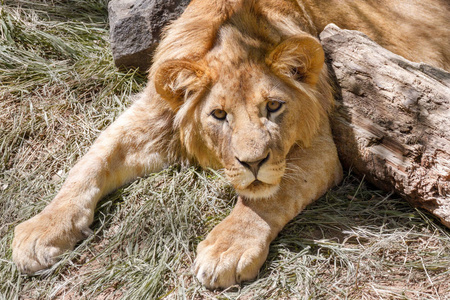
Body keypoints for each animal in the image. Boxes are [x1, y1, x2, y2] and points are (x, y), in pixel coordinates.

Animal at [11, 0, 450, 290]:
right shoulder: (147, 122)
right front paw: (41, 231)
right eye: (219, 115)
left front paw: (227, 250)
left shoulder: (322, 145)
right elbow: (88, 164)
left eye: (273, 106)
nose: (253, 162)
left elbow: (268, 198)